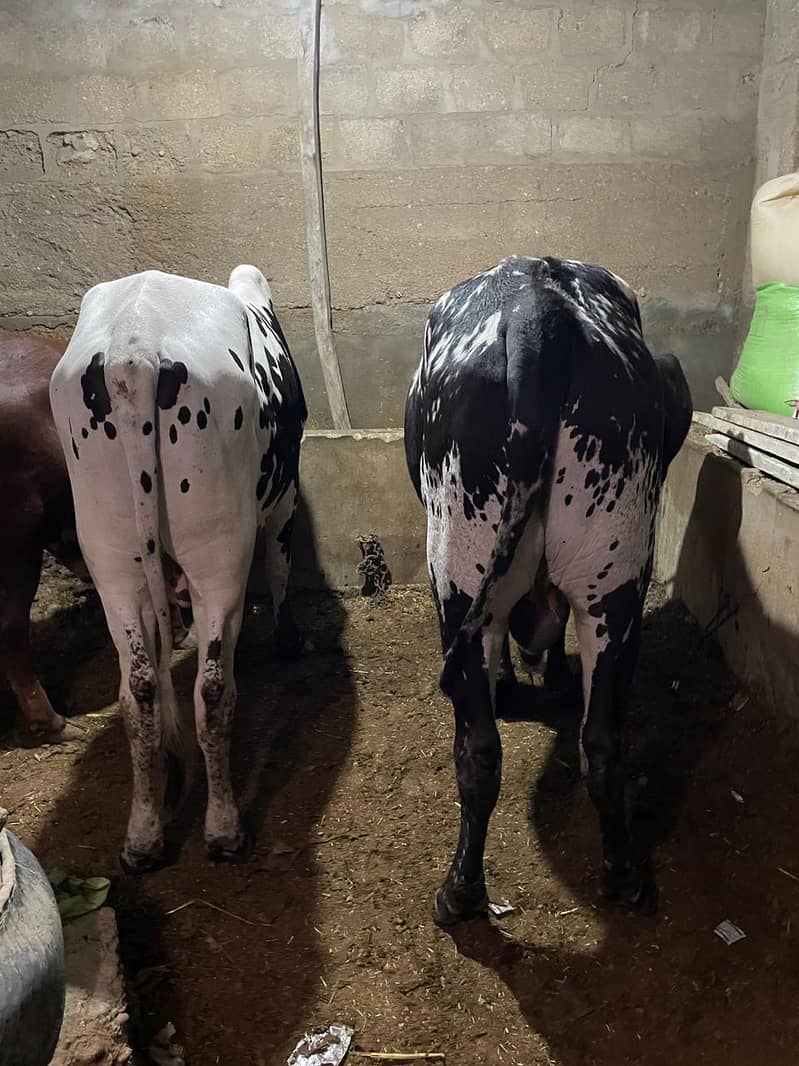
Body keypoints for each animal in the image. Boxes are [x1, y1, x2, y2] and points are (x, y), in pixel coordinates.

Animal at [49, 265, 306, 873]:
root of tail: (135, 347)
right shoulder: (283, 495)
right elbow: (280, 568)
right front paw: (289, 642)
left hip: (108, 551)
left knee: (138, 688)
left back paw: (143, 836)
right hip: (219, 545)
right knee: (211, 691)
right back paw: (225, 830)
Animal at [404, 256, 692, 924]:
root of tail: (539, 308)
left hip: (458, 576)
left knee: (479, 747)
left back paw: (459, 892)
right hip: (614, 581)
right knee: (600, 743)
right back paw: (621, 876)